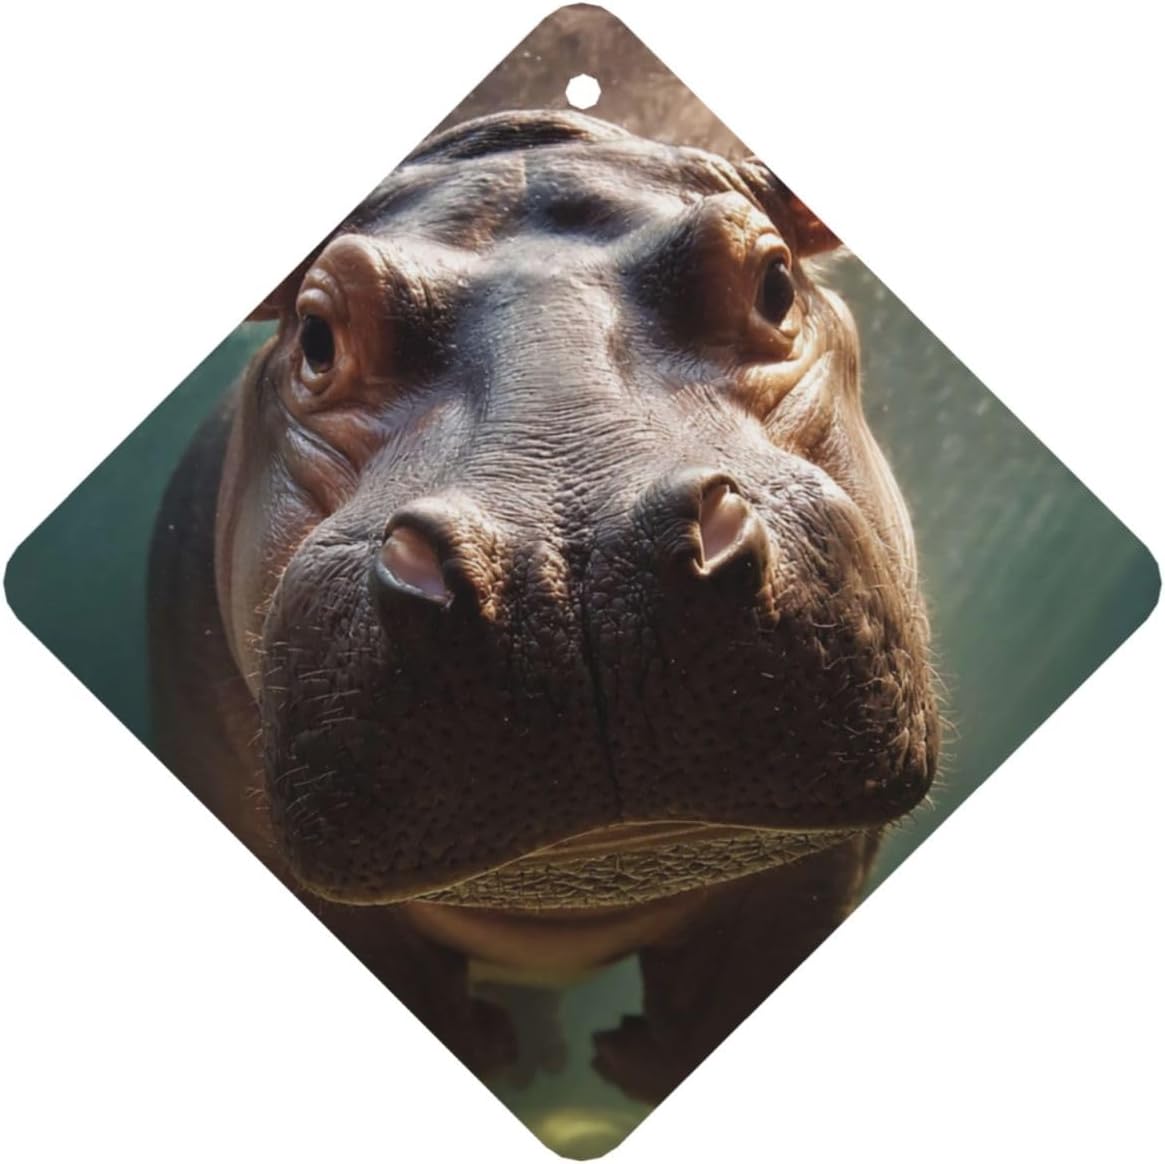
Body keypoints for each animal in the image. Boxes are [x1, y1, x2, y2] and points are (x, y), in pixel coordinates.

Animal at [150, 109, 938, 1100]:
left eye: (774, 281)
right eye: (316, 337)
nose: (565, 570)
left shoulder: (816, 872)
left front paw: (631, 1061)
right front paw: (500, 1054)